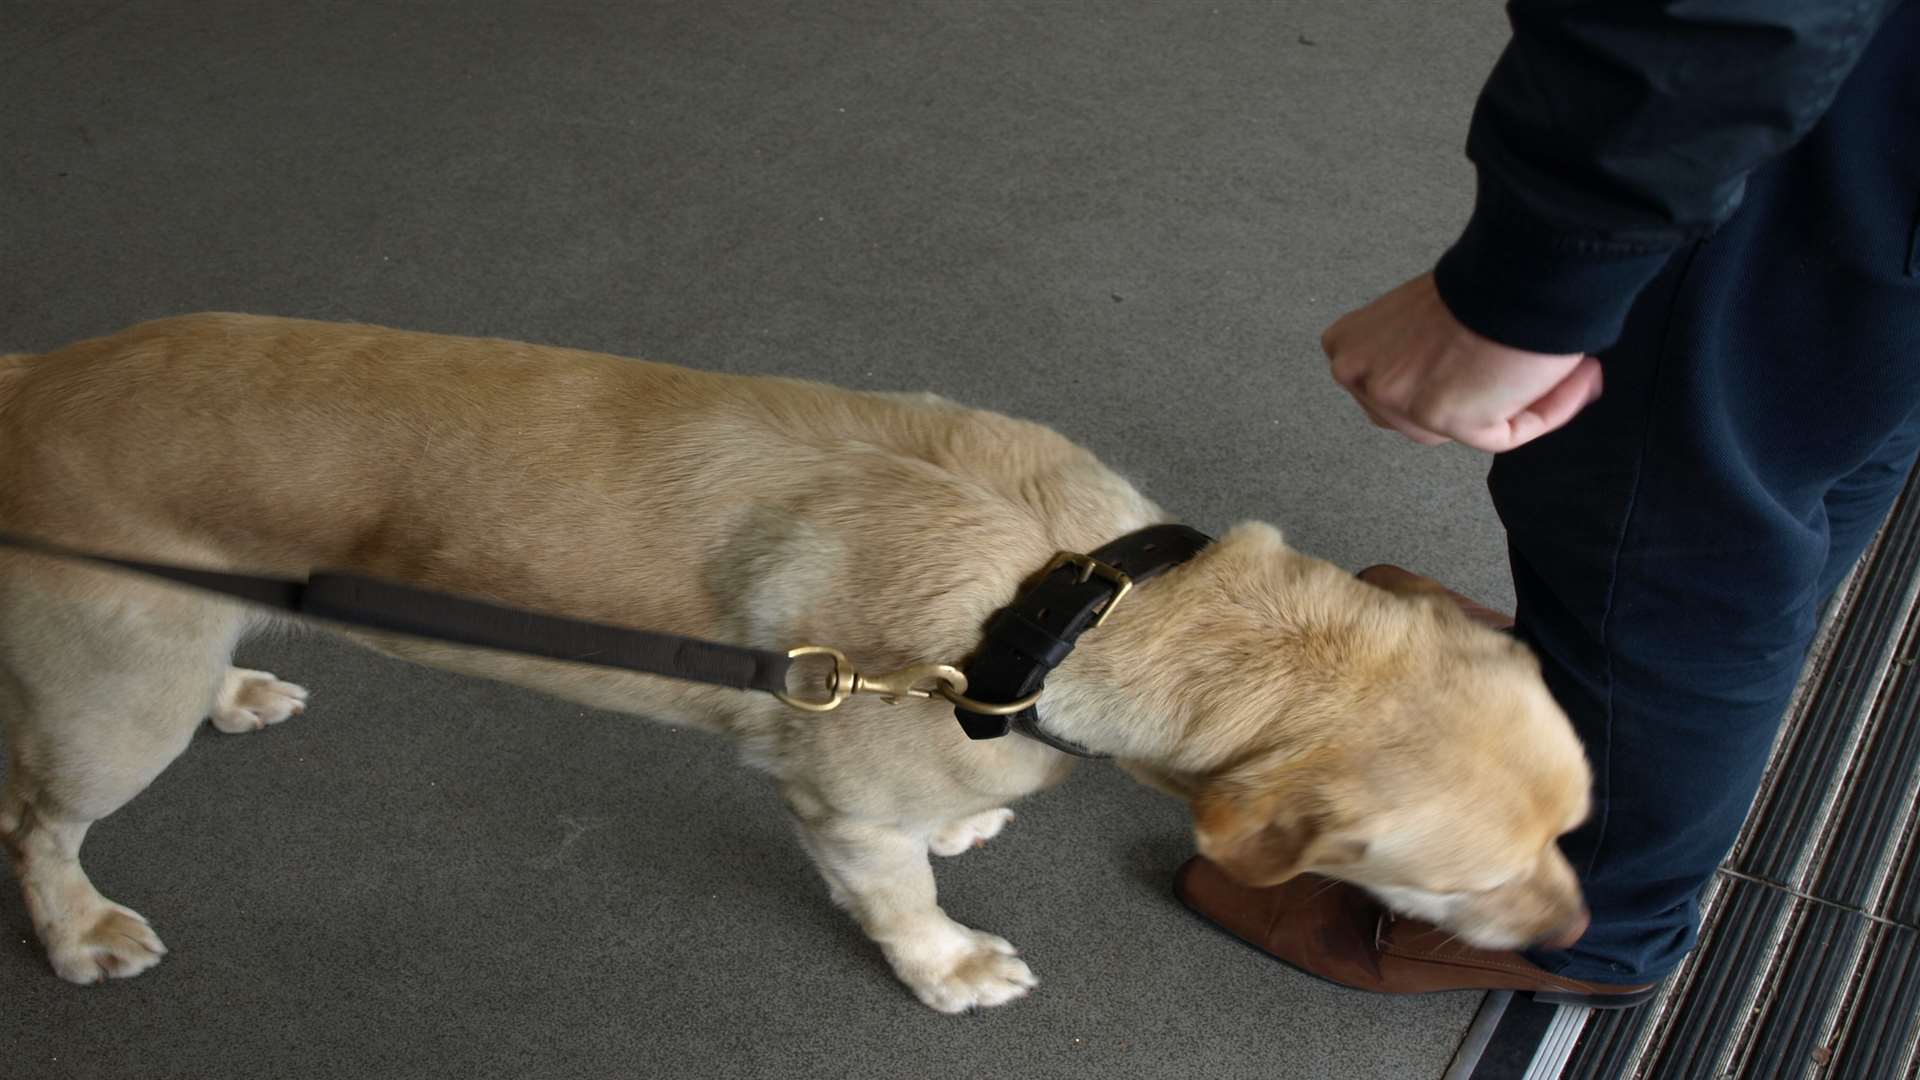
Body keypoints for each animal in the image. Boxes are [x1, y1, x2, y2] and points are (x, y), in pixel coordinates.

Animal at [0, 311, 1589, 1006]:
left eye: (1578, 826)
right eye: (1460, 884)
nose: (1581, 944)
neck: (1080, 599)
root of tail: (33, 375)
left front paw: (967, 819)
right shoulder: (842, 812)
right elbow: (899, 899)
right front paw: (946, 962)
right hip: (109, 704)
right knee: (34, 822)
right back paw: (74, 927)